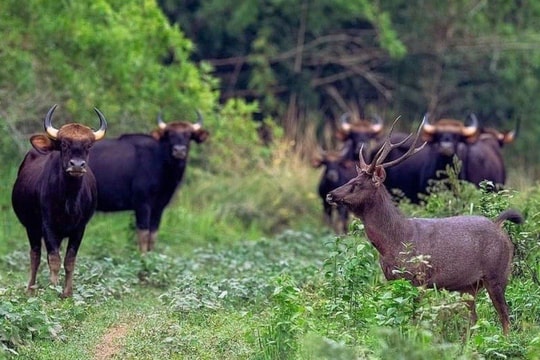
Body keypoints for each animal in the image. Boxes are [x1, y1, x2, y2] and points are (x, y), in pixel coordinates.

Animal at [324, 116, 524, 334]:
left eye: (357, 184)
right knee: (474, 319)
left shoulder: (419, 278)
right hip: (470, 284)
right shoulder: (392, 278)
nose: (330, 194)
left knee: (505, 317)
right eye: (352, 178)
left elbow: (413, 318)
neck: (394, 241)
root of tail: (498, 224)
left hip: (498, 273)